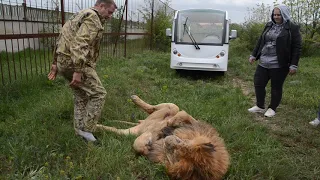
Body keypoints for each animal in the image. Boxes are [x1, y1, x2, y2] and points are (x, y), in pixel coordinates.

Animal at [96, 95, 229, 179]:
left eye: (177, 155)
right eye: (183, 143)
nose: (167, 139)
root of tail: (143, 123)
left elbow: (137, 144)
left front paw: (145, 148)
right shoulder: (194, 123)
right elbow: (184, 115)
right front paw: (173, 121)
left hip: (129, 131)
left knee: (115, 129)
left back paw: (97, 126)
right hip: (170, 107)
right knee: (158, 107)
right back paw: (135, 99)